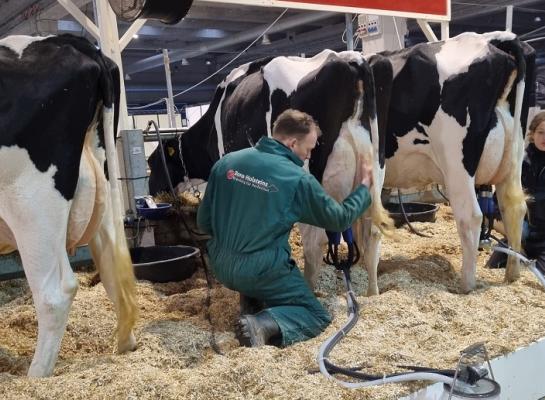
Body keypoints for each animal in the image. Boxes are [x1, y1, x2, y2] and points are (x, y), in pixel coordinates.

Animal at [0, 33, 138, 376]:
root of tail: (69, 41)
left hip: (32, 204)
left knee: (55, 294)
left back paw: (35, 377)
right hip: (101, 187)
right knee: (113, 268)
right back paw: (125, 346)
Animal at [148, 30, 532, 294]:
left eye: (154, 164)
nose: (153, 192)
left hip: (455, 160)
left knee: (470, 217)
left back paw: (466, 284)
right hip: (511, 159)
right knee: (512, 207)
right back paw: (511, 273)